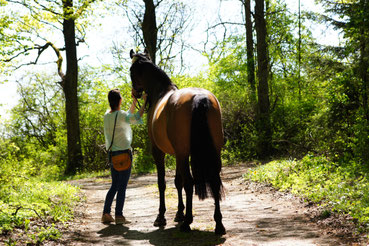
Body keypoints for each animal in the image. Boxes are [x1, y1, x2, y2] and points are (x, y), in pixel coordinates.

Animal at [129, 49, 227, 234]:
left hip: (182, 154)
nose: (135, 93)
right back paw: (218, 223)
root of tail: (200, 97)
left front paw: (161, 216)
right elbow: (177, 181)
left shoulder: (159, 152)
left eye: (131, 71)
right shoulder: (177, 153)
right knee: (214, 180)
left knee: (189, 182)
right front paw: (179, 213)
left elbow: (162, 183)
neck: (161, 92)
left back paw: (188, 222)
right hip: (211, 152)